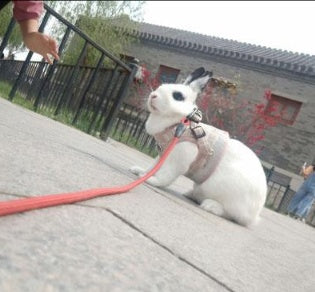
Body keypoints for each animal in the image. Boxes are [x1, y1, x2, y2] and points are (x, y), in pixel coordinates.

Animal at [130, 68, 268, 226]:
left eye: (178, 96)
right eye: (161, 85)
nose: (153, 96)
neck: (178, 124)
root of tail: (255, 214)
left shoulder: (178, 161)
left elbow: (166, 175)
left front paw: (150, 181)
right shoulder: (162, 155)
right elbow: (152, 167)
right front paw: (139, 171)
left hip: (225, 195)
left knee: (232, 216)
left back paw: (210, 206)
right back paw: (190, 194)